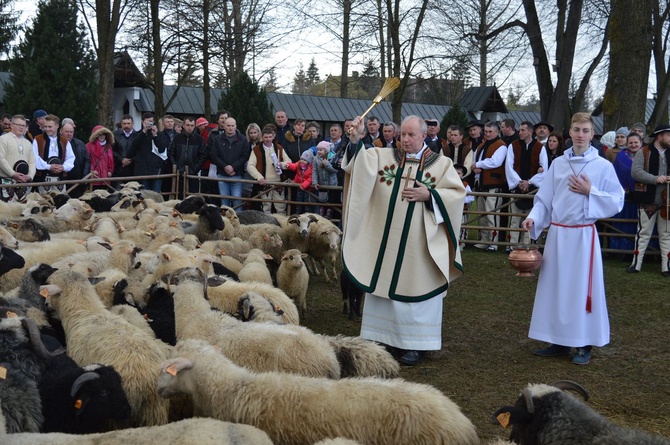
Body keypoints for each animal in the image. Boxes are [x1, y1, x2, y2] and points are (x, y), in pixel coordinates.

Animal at [43, 268, 172, 426]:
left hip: (116, 418)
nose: (46, 304)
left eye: (49, 288)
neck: (85, 311)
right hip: (154, 414)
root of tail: (145, 382)